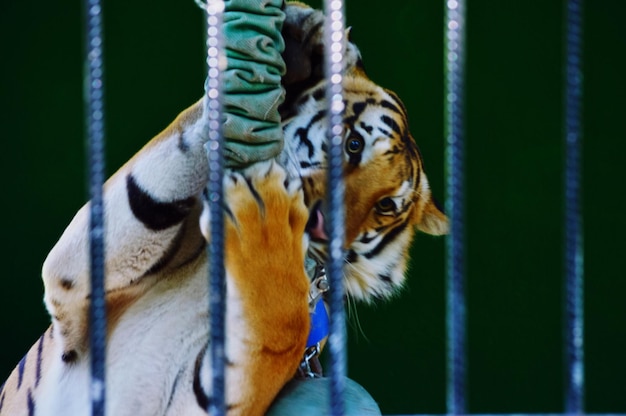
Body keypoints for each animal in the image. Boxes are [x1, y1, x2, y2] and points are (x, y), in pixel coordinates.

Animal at [1, 2, 448, 416]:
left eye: (386, 205)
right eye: (353, 144)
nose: (325, 229)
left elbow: (283, 324)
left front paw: (266, 215)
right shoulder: (77, 278)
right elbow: (161, 174)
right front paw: (309, 41)